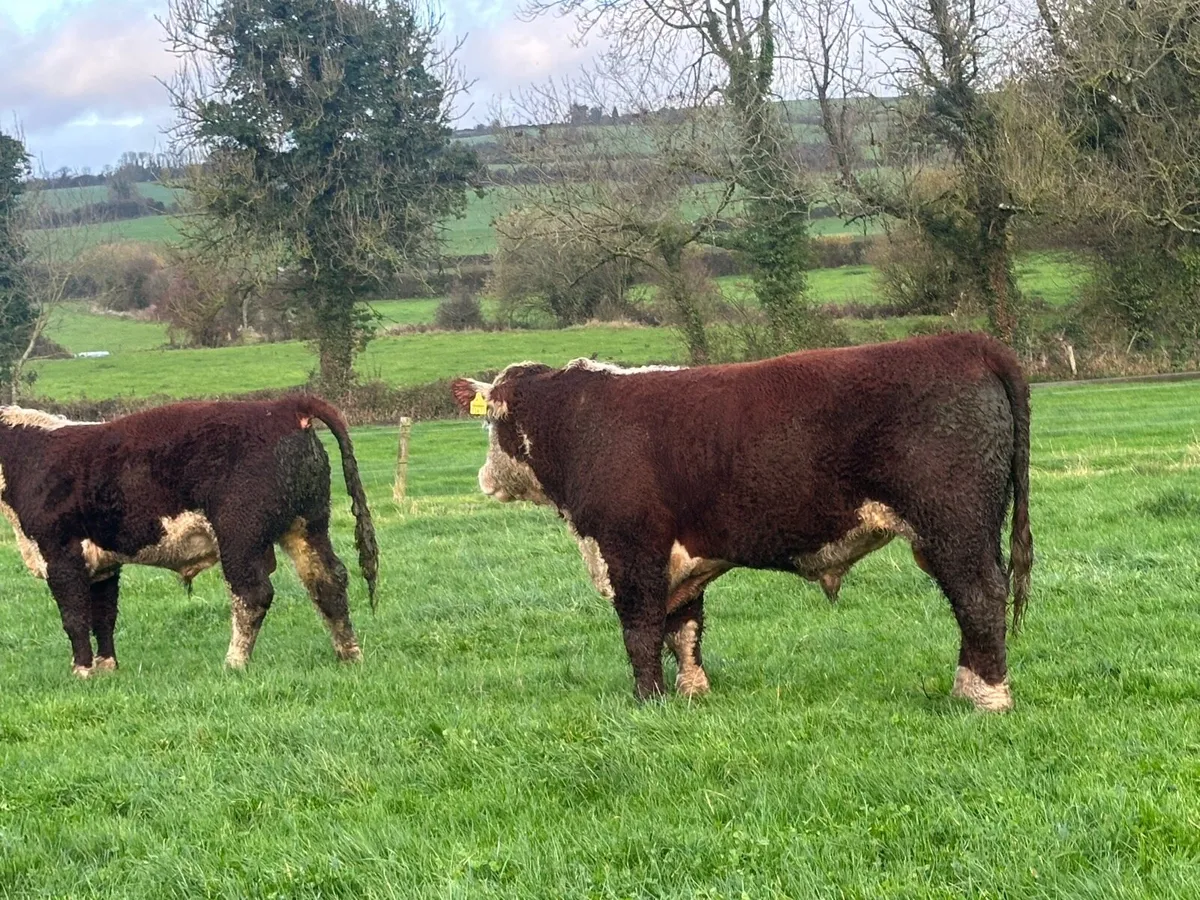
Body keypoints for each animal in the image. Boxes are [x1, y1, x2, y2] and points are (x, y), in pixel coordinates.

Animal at [0, 396, 378, 677]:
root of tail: (285, 405)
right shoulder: (103, 564)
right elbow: (104, 615)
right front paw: (107, 668)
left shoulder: (59, 554)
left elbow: (75, 617)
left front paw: (81, 671)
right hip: (307, 524)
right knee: (328, 580)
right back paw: (349, 655)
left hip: (239, 535)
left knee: (252, 593)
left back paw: (234, 662)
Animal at [452, 332, 1032, 711]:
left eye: (494, 421)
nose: (484, 478)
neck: (577, 423)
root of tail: (967, 343)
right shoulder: (679, 559)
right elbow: (683, 628)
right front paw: (692, 693)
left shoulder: (630, 547)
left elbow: (640, 629)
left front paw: (647, 700)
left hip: (952, 524)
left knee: (979, 595)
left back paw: (984, 697)